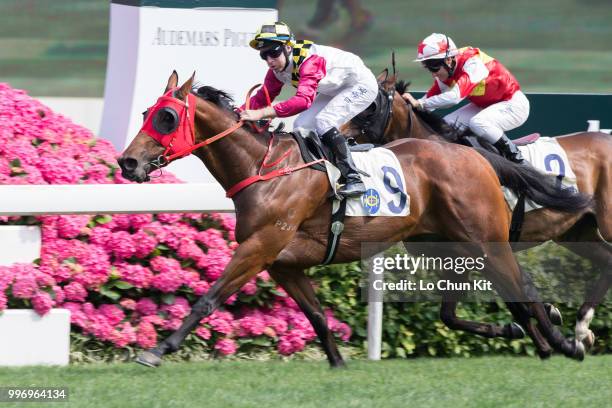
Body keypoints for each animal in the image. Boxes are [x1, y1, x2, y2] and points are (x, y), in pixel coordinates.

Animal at [117, 71, 584, 368]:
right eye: (144, 113)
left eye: (167, 117)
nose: (127, 162)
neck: (262, 169)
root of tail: (472, 153)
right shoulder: (284, 263)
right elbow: (318, 316)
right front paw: (338, 363)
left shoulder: (259, 248)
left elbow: (208, 298)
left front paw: (158, 350)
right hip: (442, 244)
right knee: (491, 299)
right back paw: (524, 331)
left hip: (486, 239)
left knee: (523, 288)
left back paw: (566, 343)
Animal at [344, 71, 612, 350]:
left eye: (370, 106)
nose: (341, 136)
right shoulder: (456, 254)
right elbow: (451, 314)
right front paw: (543, 319)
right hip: (576, 233)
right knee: (609, 260)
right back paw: (582, 327)